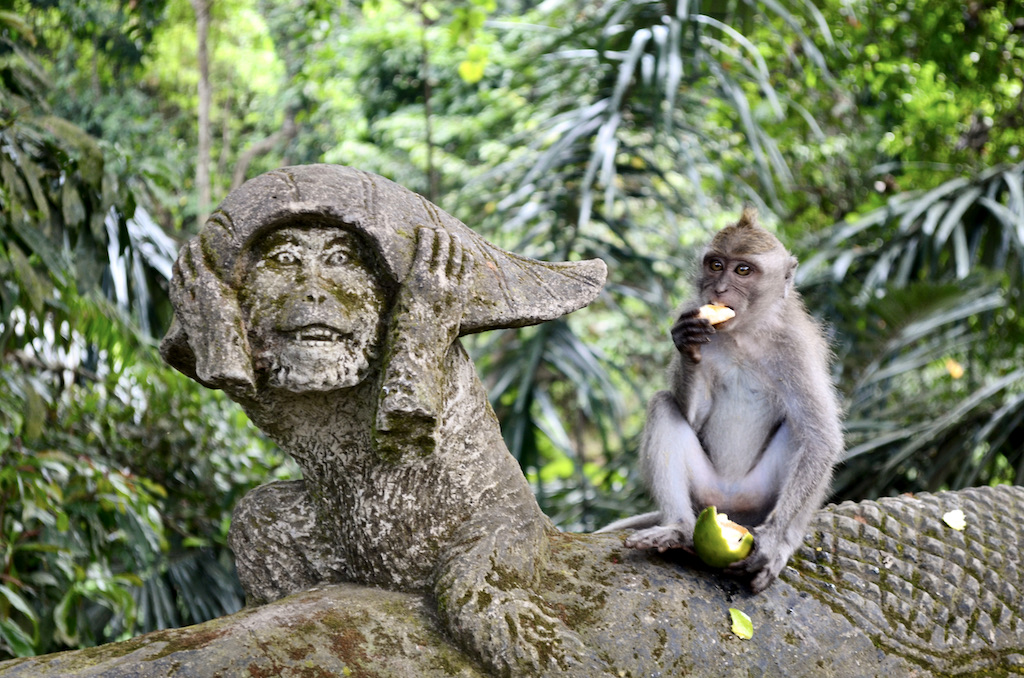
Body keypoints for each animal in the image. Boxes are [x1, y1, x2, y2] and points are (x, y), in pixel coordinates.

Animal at [598, 209, 839, 594]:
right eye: (715, 265)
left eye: (742, 270)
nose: (719, 289)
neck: (743, 333)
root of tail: (730, 509)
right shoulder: (690, 312)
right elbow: (693, 417)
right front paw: (688, 344)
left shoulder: (796, 348)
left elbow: (821, 438)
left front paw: (774, 542)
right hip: (705, 492)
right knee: (663, 405)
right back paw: (678, 530)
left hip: (760, 497)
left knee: (803, 433)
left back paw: (782, 542)